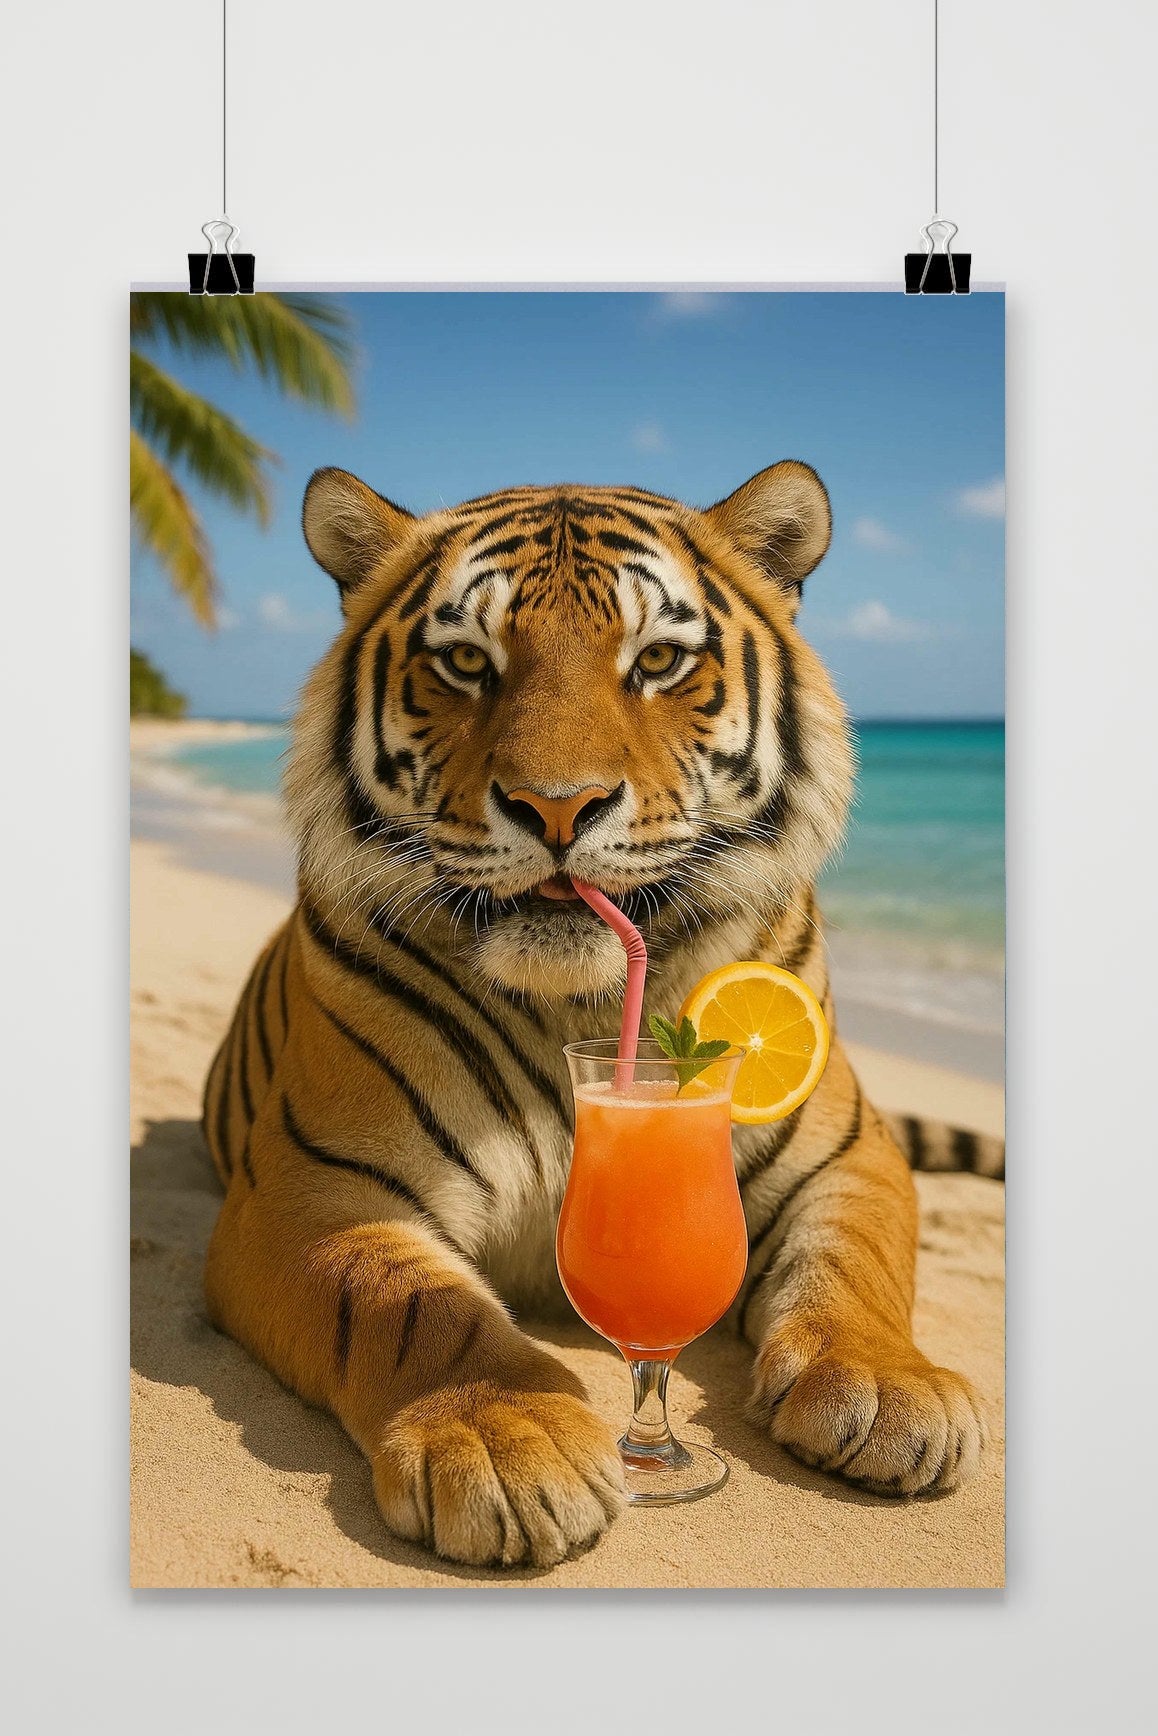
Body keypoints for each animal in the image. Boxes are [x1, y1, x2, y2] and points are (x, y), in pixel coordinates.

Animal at [202, 460, 1001, 1571]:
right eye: (466, 661)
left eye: (658, 660)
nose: (556, 806)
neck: (575, 1009)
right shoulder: (312, 1191)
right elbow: (411, 1306)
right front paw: (503, 1435)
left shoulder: (849, 1151)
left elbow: (855, 1261)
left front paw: (886, 1384)